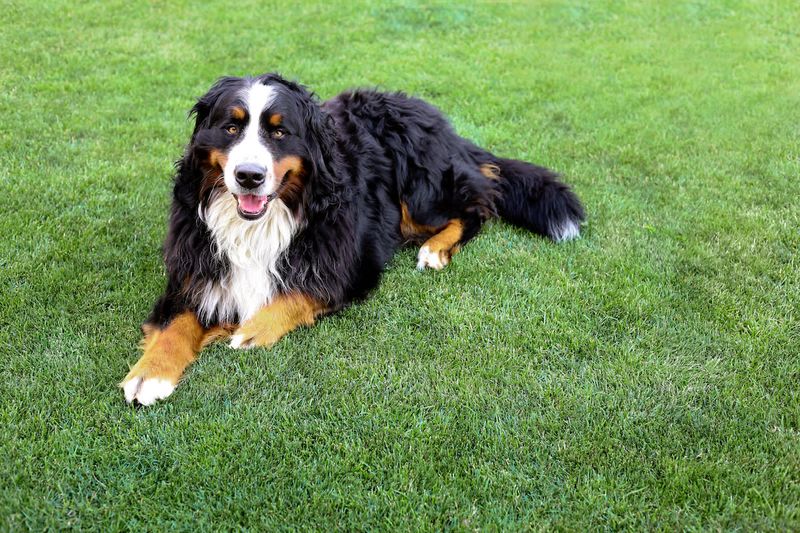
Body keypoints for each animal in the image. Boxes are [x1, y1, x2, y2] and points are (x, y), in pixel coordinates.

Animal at [120, 70, 580, 404]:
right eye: (230, 128)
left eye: (280, 132)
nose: (249, 176)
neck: (264, 221)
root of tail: (440, 124)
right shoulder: (194, 268)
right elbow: (176, 322)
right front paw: (149, 373)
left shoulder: (350, 264)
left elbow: (298, 294)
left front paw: (252, 328)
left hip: (419, 189)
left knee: (476, 205)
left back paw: (435, 249)